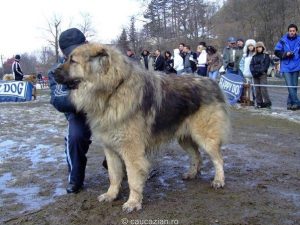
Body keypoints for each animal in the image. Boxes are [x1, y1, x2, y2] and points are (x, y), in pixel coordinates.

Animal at [54, 43, 231, 213]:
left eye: (72, 61)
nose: (52, 72)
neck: (113, 91)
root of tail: (211, 82)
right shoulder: (110, 149)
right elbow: (114, 175)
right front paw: (111, 195)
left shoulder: (131, 151)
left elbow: (133, 179)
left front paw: (133, 202)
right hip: (185, 138)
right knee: (196, 156)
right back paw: (192, 173)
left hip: (205, 137)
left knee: (218, 159)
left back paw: (218, 180)